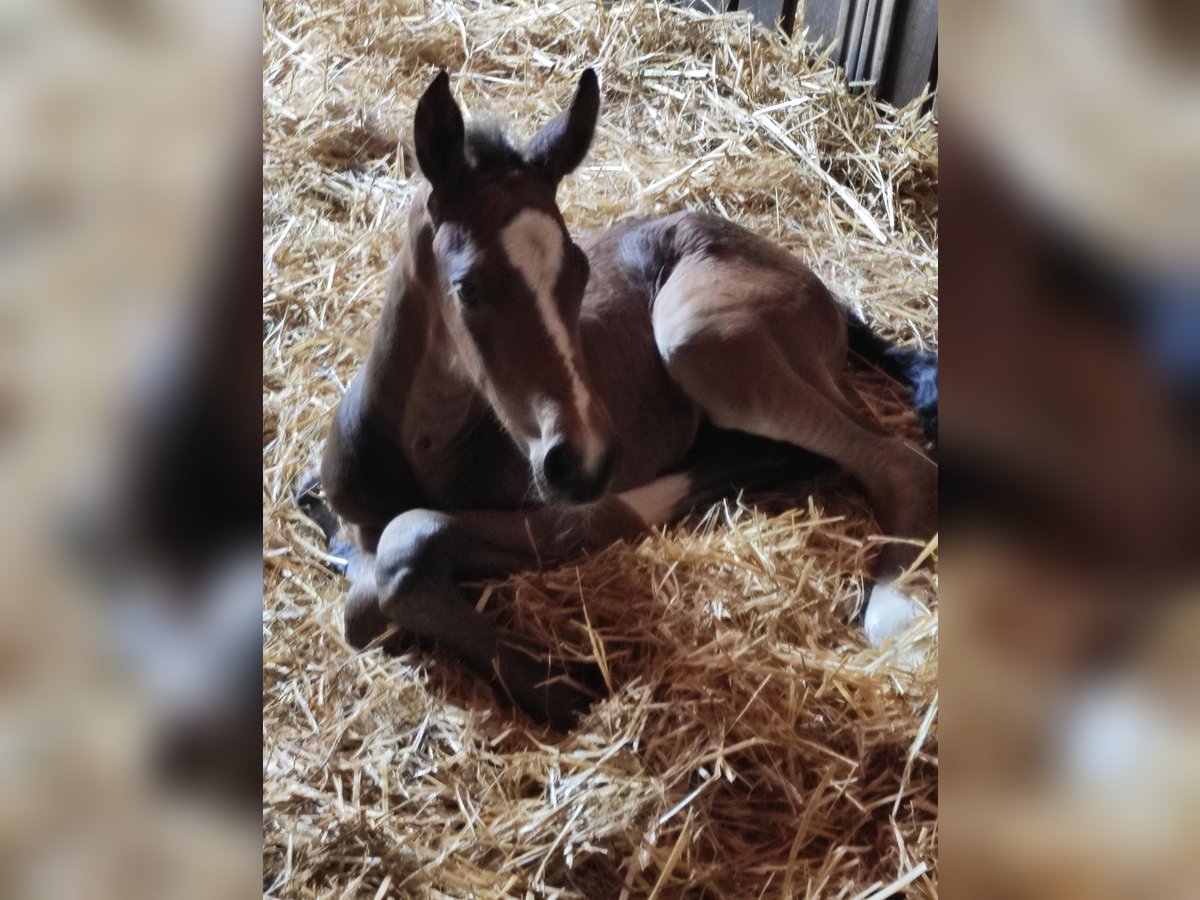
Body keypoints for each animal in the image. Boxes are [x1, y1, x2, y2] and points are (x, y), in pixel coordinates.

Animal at [314, 72, 931, 734]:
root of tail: (823, 292)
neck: (421, 447)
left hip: (697, 336)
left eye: (581, 272)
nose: (583, 461)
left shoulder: (576, 513)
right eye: (468, 288)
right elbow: (360, 584)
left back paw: (900, 612)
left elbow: (399, 553)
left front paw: (565, 685)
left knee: (899, 461)